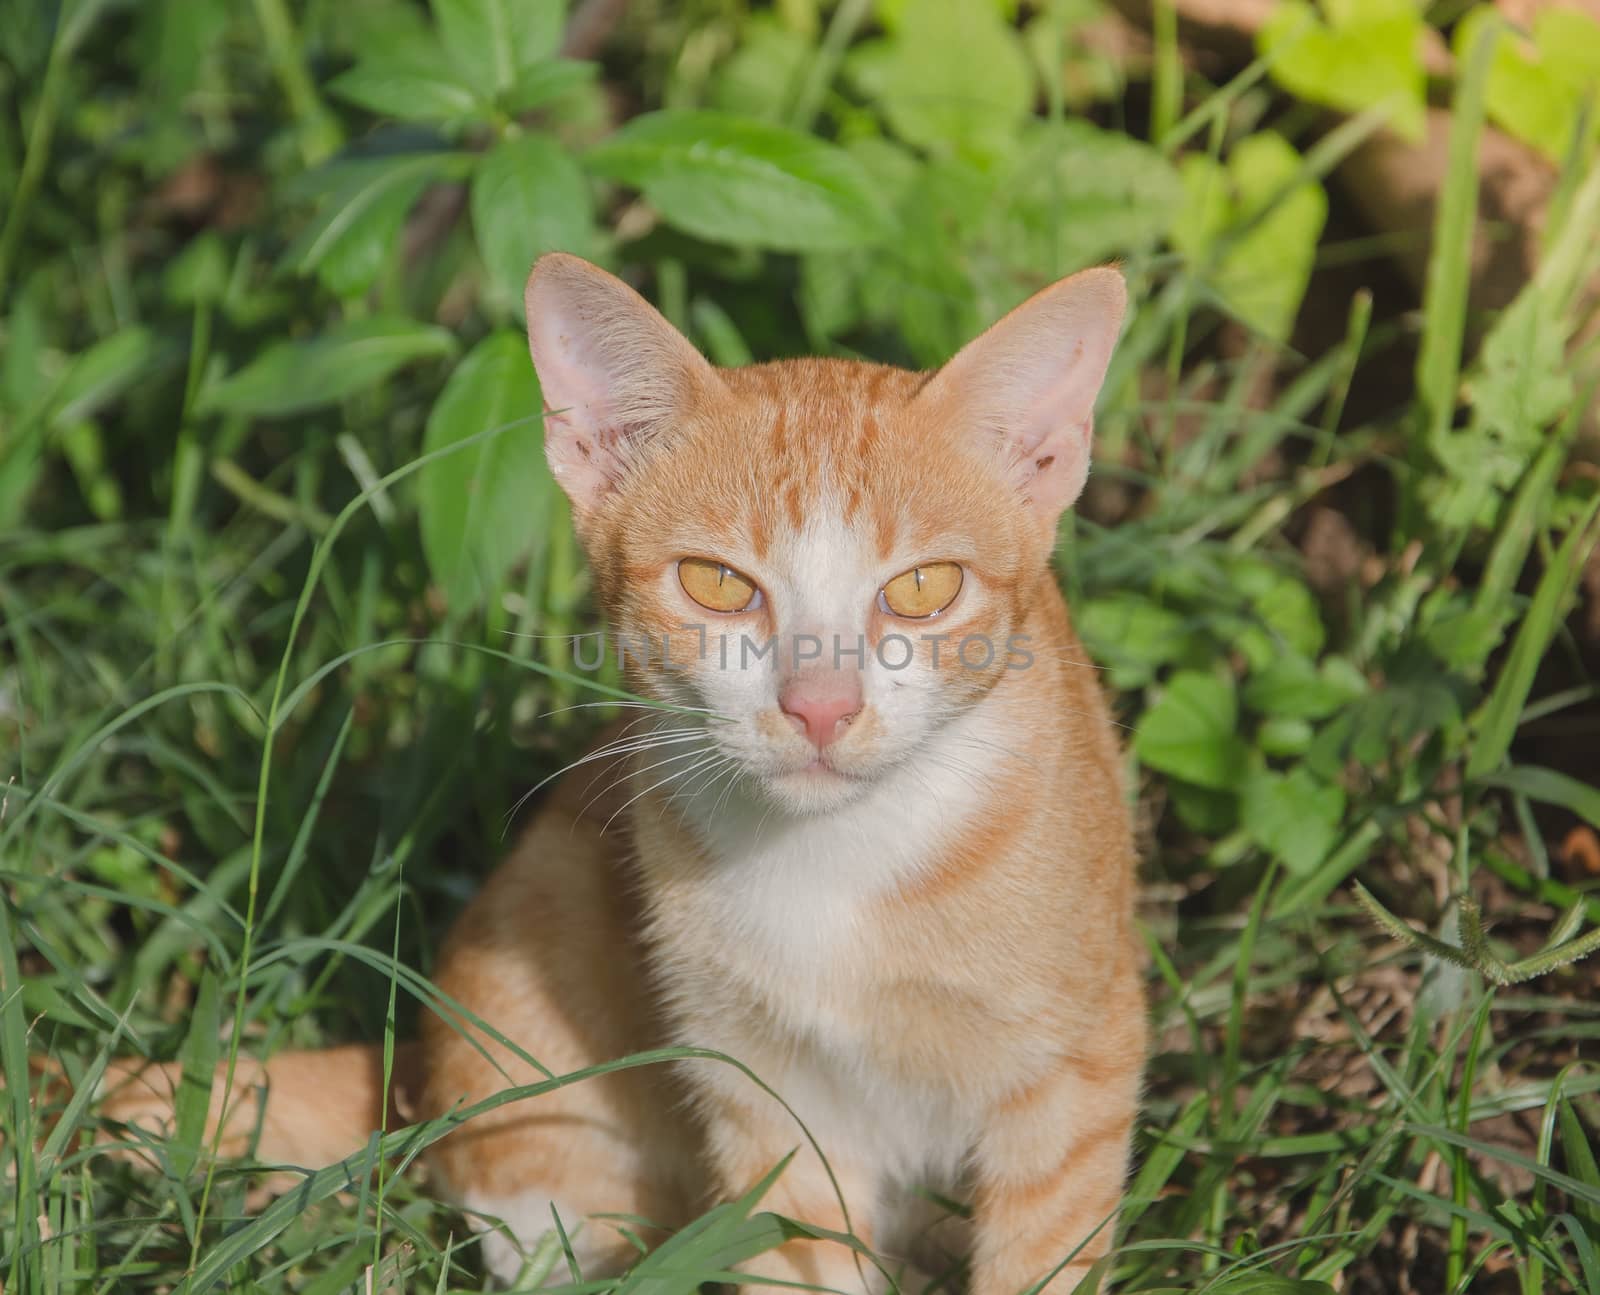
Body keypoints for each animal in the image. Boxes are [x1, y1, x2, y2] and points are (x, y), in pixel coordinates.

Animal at [100, 252, 1145, 1293]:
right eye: (718, 584)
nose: (819, 705)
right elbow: (799, 1252)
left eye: (925, 589)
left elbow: (1041, 1256)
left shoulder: (1077, 1073)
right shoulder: (760, 1092)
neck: (837, 860)